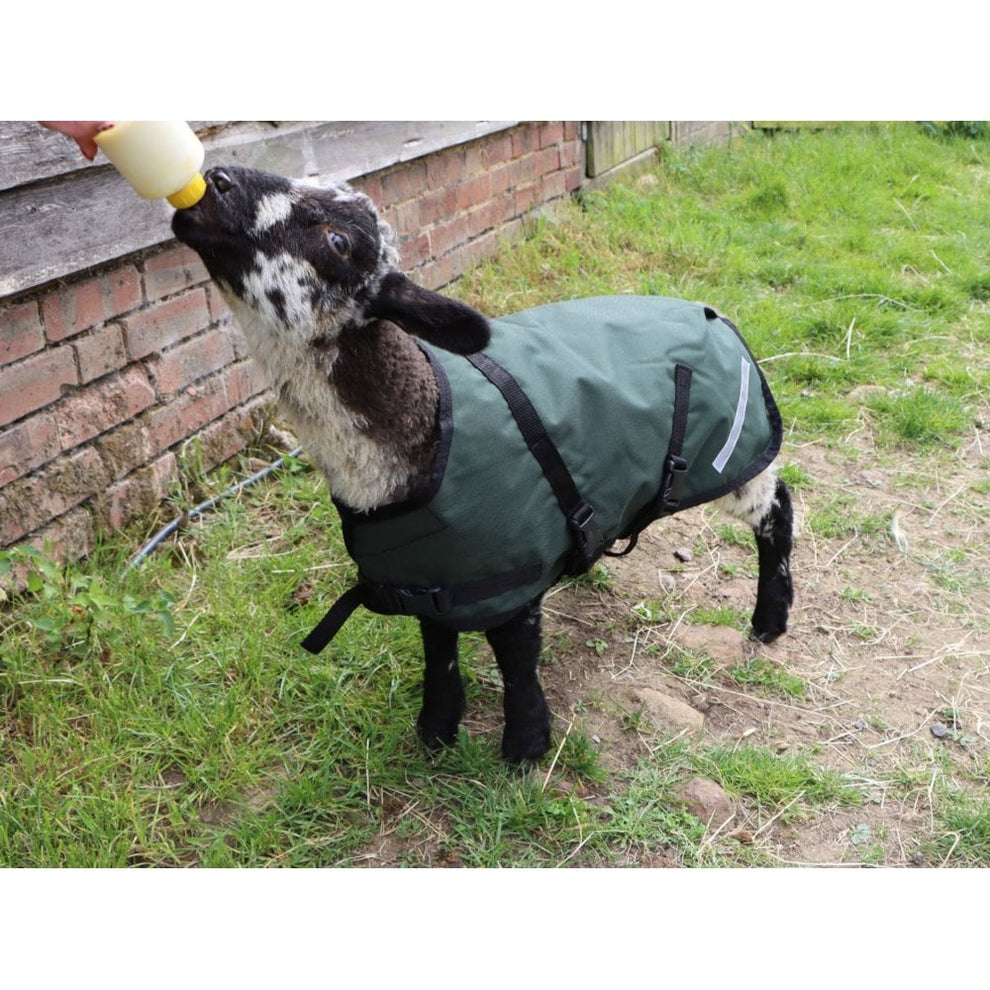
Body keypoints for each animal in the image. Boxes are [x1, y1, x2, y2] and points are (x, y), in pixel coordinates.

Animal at [172, 164, 794, 764]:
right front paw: (436, 732)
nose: (217, 178)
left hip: (730, 449)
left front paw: (525, 748)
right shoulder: (429, 573)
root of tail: (710, 312)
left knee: (776, 507)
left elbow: (515, 658)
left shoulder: (513, 566)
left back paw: (770, 619)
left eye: (337, 240)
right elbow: (437, 647)